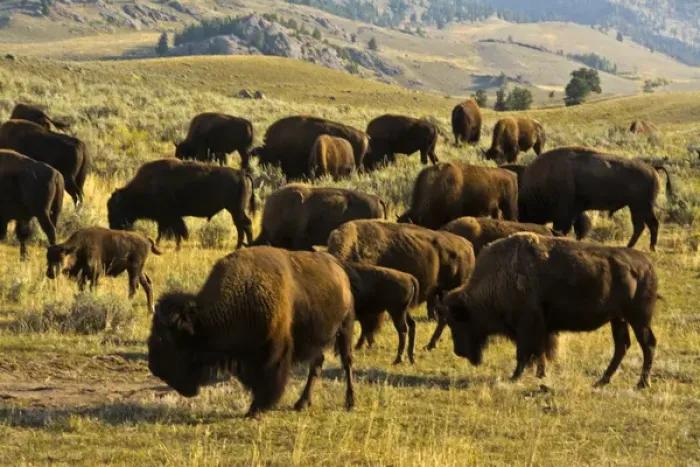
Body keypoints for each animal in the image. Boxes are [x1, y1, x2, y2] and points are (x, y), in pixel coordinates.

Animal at [147, 246, 356, 417]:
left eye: (164, 338)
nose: (154, 368)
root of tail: (339, 269)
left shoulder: (274, 353)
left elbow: (269, 380)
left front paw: (256, 410)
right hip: (318, 340)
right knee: (317, 365)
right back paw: (302, 403)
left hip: (345, 329)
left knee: (347, 363)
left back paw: (350, 403)